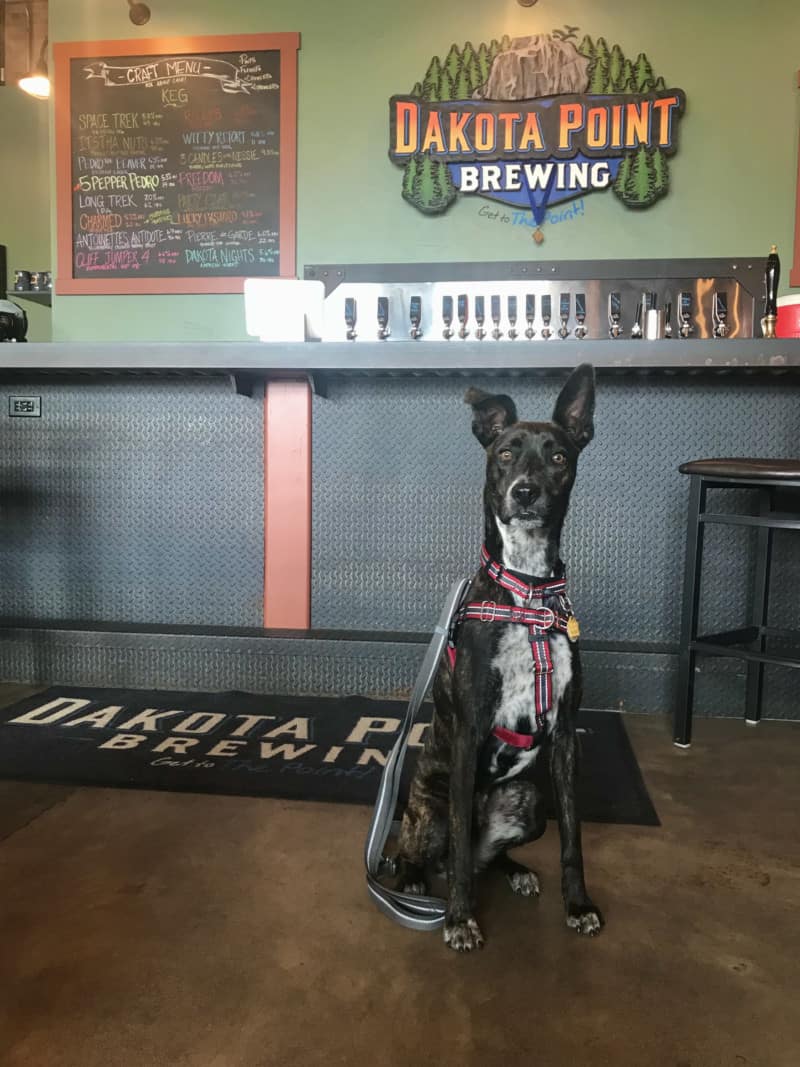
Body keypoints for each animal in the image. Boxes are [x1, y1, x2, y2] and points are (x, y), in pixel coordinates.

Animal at [394, 364, 601, 951]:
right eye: (505, 453)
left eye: (559, 457)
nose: (524, 492)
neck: (527, 590)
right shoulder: (469, 730)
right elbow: (462, 852)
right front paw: (460, 919)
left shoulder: (564, 736)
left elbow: (573, 837)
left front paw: (578, 904)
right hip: (430, 809)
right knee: (432, 853)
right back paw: (415, 880)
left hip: (527, 801)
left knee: (484, 855)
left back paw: (514, 870)